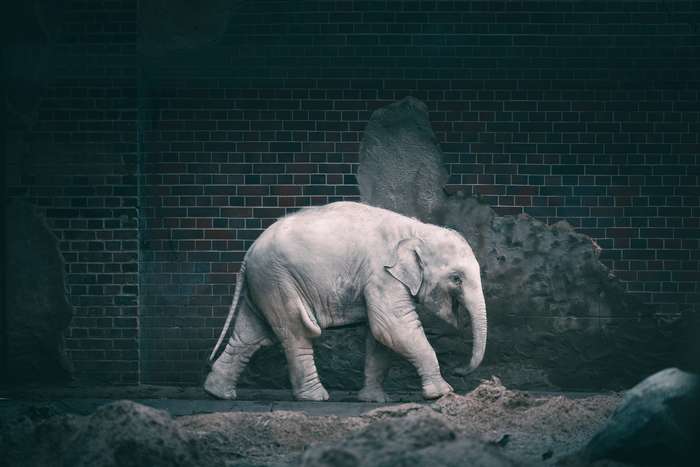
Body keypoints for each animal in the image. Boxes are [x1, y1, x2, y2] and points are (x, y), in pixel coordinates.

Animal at [202, 201, 486, 402]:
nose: (459, 370)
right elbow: (393, 327)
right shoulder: (381, 275)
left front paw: (374, 400)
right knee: (296, 331)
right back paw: (316, 397)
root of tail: (248, 251)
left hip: (262, 282)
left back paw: (217, 393)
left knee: (251, 334)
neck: (416, 229)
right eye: (457, 278)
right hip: (277, 280)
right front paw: (442, 393)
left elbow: (380, 336)